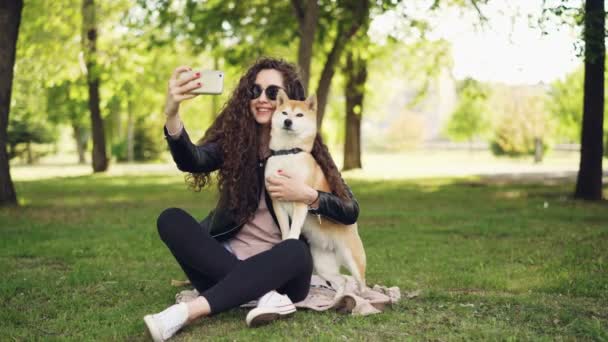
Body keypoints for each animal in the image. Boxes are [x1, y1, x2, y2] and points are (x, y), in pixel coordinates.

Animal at [262, 90, 366, 292]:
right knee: (342, 280)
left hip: (354, 259)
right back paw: (340, 296)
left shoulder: (301, 200)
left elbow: (294, 228)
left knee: (362, 284)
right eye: (285, 113)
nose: (288, 121)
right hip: (322, 263)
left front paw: (291, 242)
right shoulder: (277, 201)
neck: (288, 153)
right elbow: (285, 227)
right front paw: (284, 242)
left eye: (299, 115)